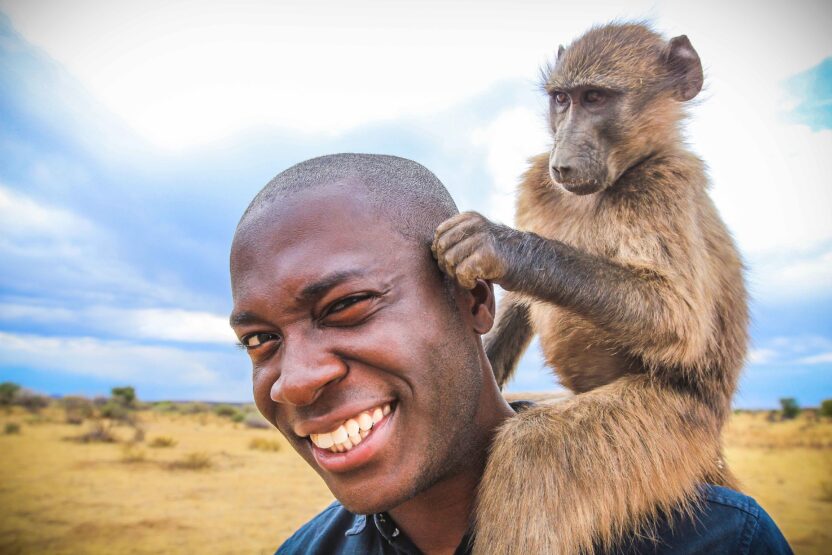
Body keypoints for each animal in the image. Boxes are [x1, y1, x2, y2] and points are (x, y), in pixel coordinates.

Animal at [432, 22, 748, 554]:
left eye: (596, 98)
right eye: (562, 99)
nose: (562, 163)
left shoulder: (664, 184)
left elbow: (677, 319)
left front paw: (499, 245)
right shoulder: (536, 183)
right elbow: (518, 308)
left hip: (674, 429)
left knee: (533, 453)